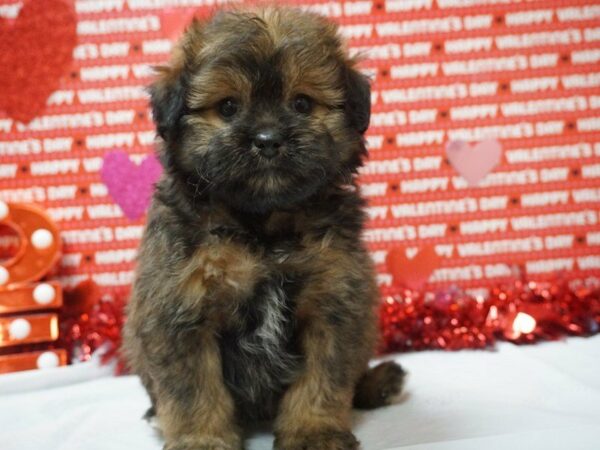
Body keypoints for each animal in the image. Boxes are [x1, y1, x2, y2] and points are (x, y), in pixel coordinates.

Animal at [123, 7, 406, 450]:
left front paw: (313, 431)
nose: (268, 139)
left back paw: (378, 383)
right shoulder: (181, 309)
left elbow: (323, 379)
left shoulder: (334, 301)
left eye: (302, 103)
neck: (264, 230)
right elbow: (193, 390)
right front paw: (202, 438)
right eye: (227, 107)